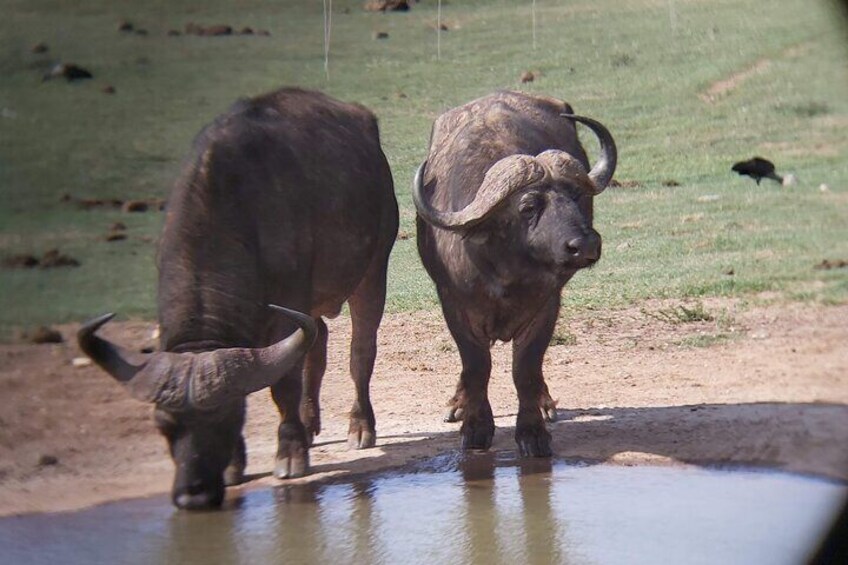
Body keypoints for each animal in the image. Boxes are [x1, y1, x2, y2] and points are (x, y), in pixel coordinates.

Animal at [78, 86, 400, 508]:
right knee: (318, 344)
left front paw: (290, 453)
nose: (194, 496)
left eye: (227, 419)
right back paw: (310, 422)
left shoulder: (287, 307)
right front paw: (236, 464)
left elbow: (283, 382)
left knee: (360, 351)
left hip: (372, 269)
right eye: (162, 425)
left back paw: (359, 426)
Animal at [412, 90, 616, 456]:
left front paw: (533, 433)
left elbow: (526, 369)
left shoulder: (547, 306)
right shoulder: (454, 306)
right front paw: (475, 427)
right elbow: (476, 366)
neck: (506, 274)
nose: (585, 245)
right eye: (528, 206)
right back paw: (457, 405)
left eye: (576, 195)